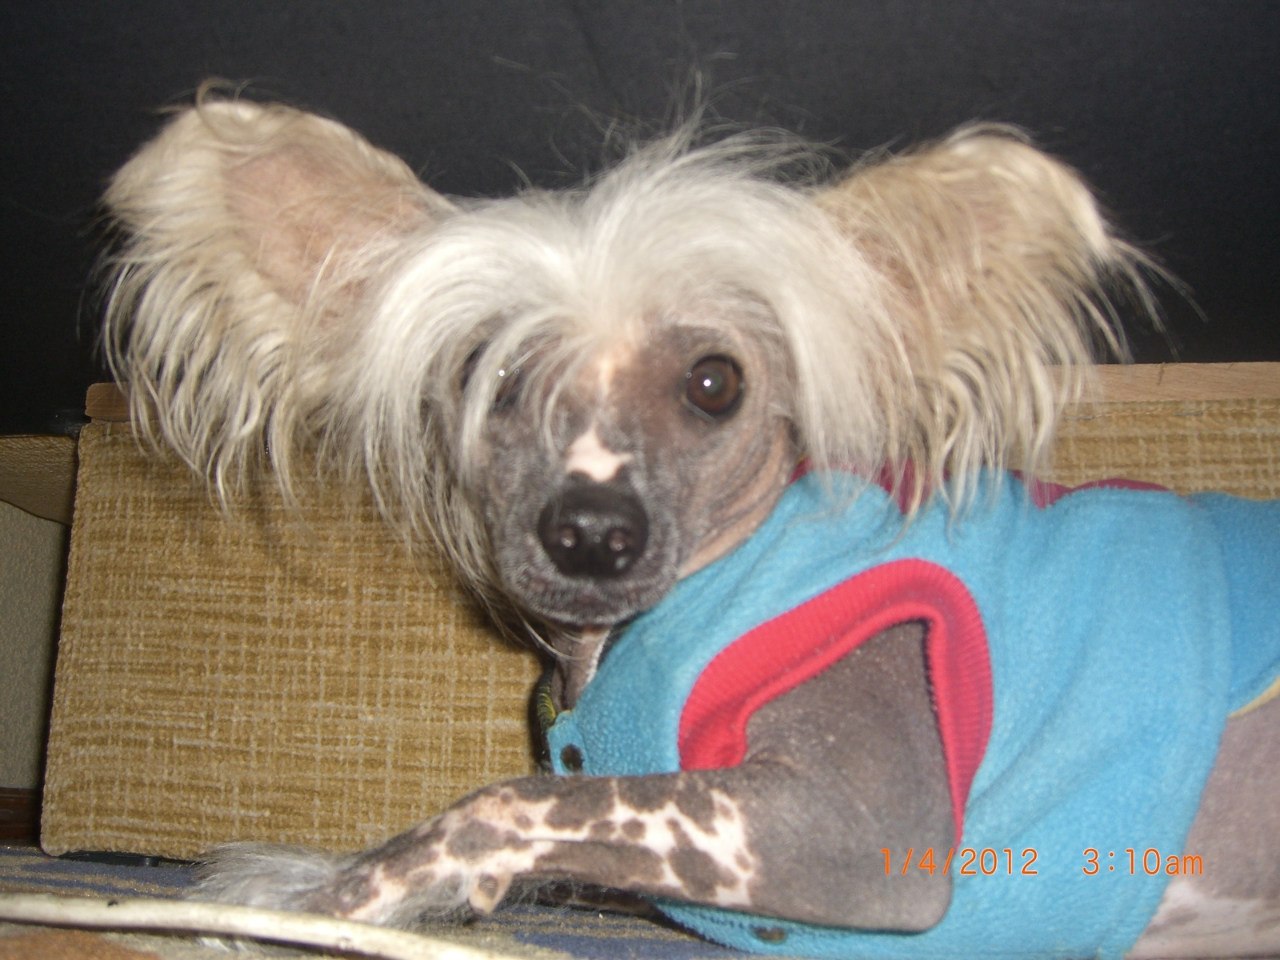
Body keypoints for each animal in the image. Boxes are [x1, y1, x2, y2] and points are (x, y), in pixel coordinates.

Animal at [101, 89, 1279, 958]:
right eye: (489, 375)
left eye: (715, 383)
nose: (590, 532)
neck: (614, 650)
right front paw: (304, 873)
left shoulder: (857, 827)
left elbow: (495, 805)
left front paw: (307, 907)